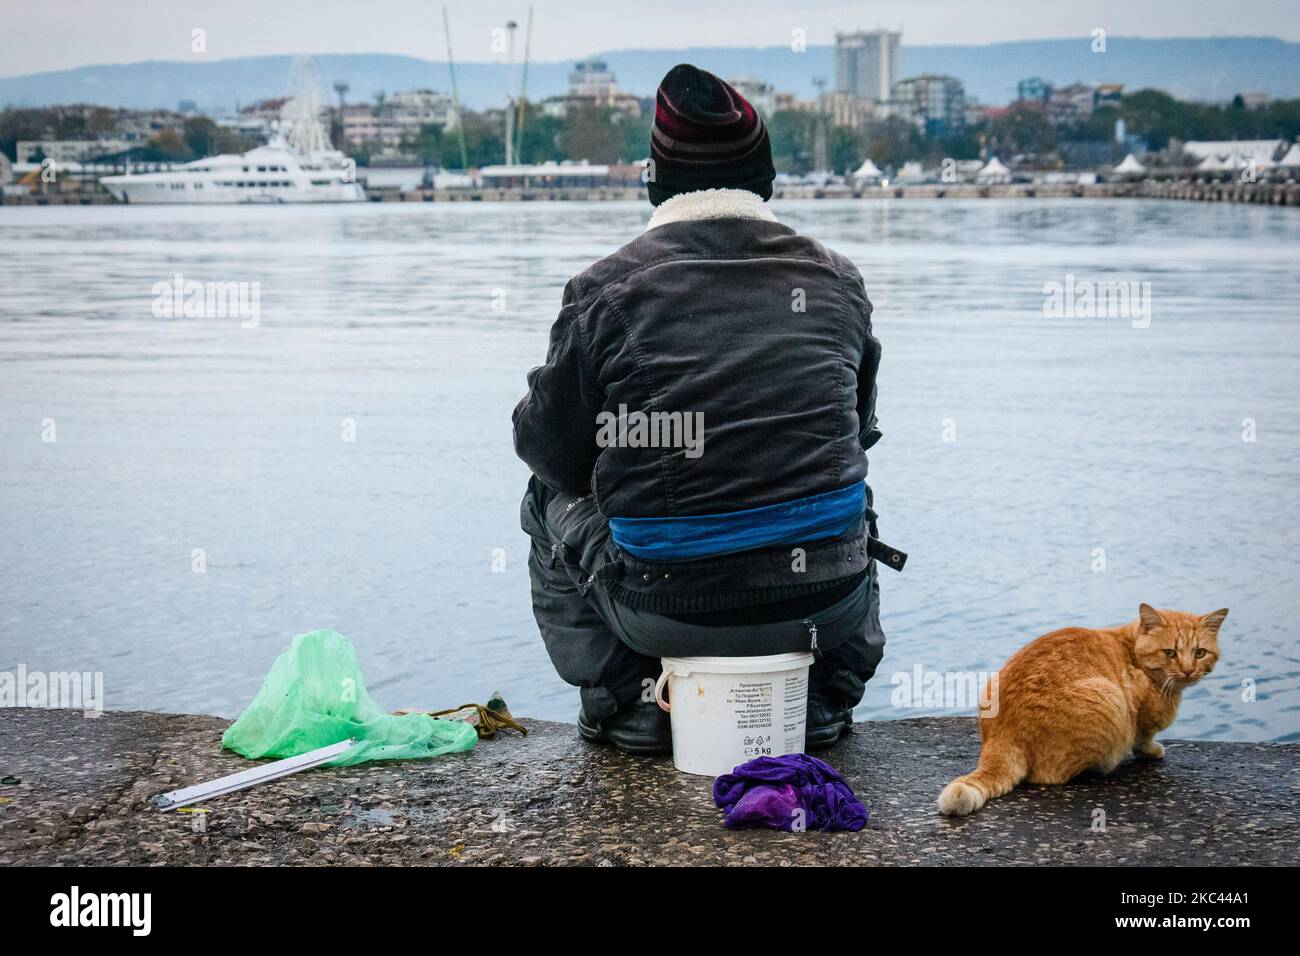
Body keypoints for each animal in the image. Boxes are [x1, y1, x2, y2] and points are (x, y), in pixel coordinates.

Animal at [935, 606, 1227, 816]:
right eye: (1170, 653)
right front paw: (1152, 751)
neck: (1132, 652)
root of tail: (1003, 733)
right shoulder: (1142, 719)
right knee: (1050, 776)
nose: (1188, 670)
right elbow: (1144, 739)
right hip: (1108, 699)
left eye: (1200, 653)